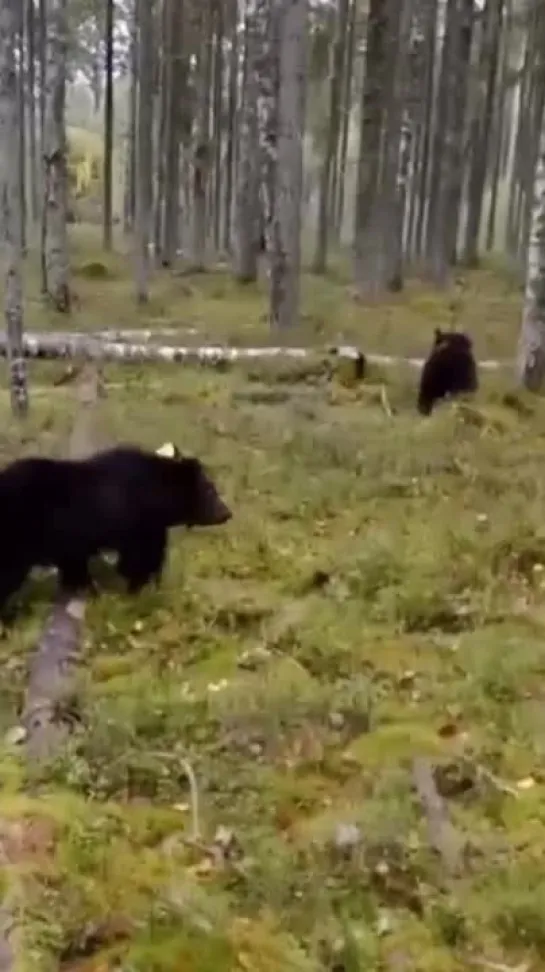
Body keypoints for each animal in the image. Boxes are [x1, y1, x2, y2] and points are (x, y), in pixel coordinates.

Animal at [0, 446, 230, 612]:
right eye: (210, 490)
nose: (226, 513)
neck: (155, 493)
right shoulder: (135, 524)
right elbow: (140, 559)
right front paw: (140, 588)